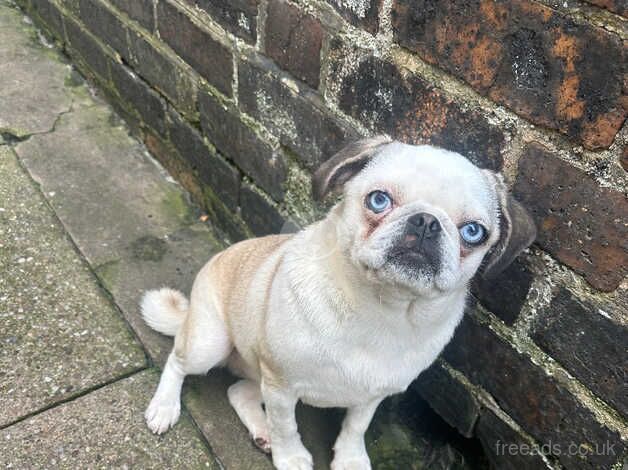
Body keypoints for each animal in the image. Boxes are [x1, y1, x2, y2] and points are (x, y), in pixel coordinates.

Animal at [141, 137, 536, 470]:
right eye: (378, 200)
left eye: (473, 232)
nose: (426, 222)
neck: (383, 311)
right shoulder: (282, 387)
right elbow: (286, 426)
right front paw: (291, 457)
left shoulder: (370, 397)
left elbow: (355, 428)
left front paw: (350, 459)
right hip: (210, 343)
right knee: (177, 362)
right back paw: (165, 407)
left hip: (256, 371)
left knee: (239, 392)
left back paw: (260, 430)